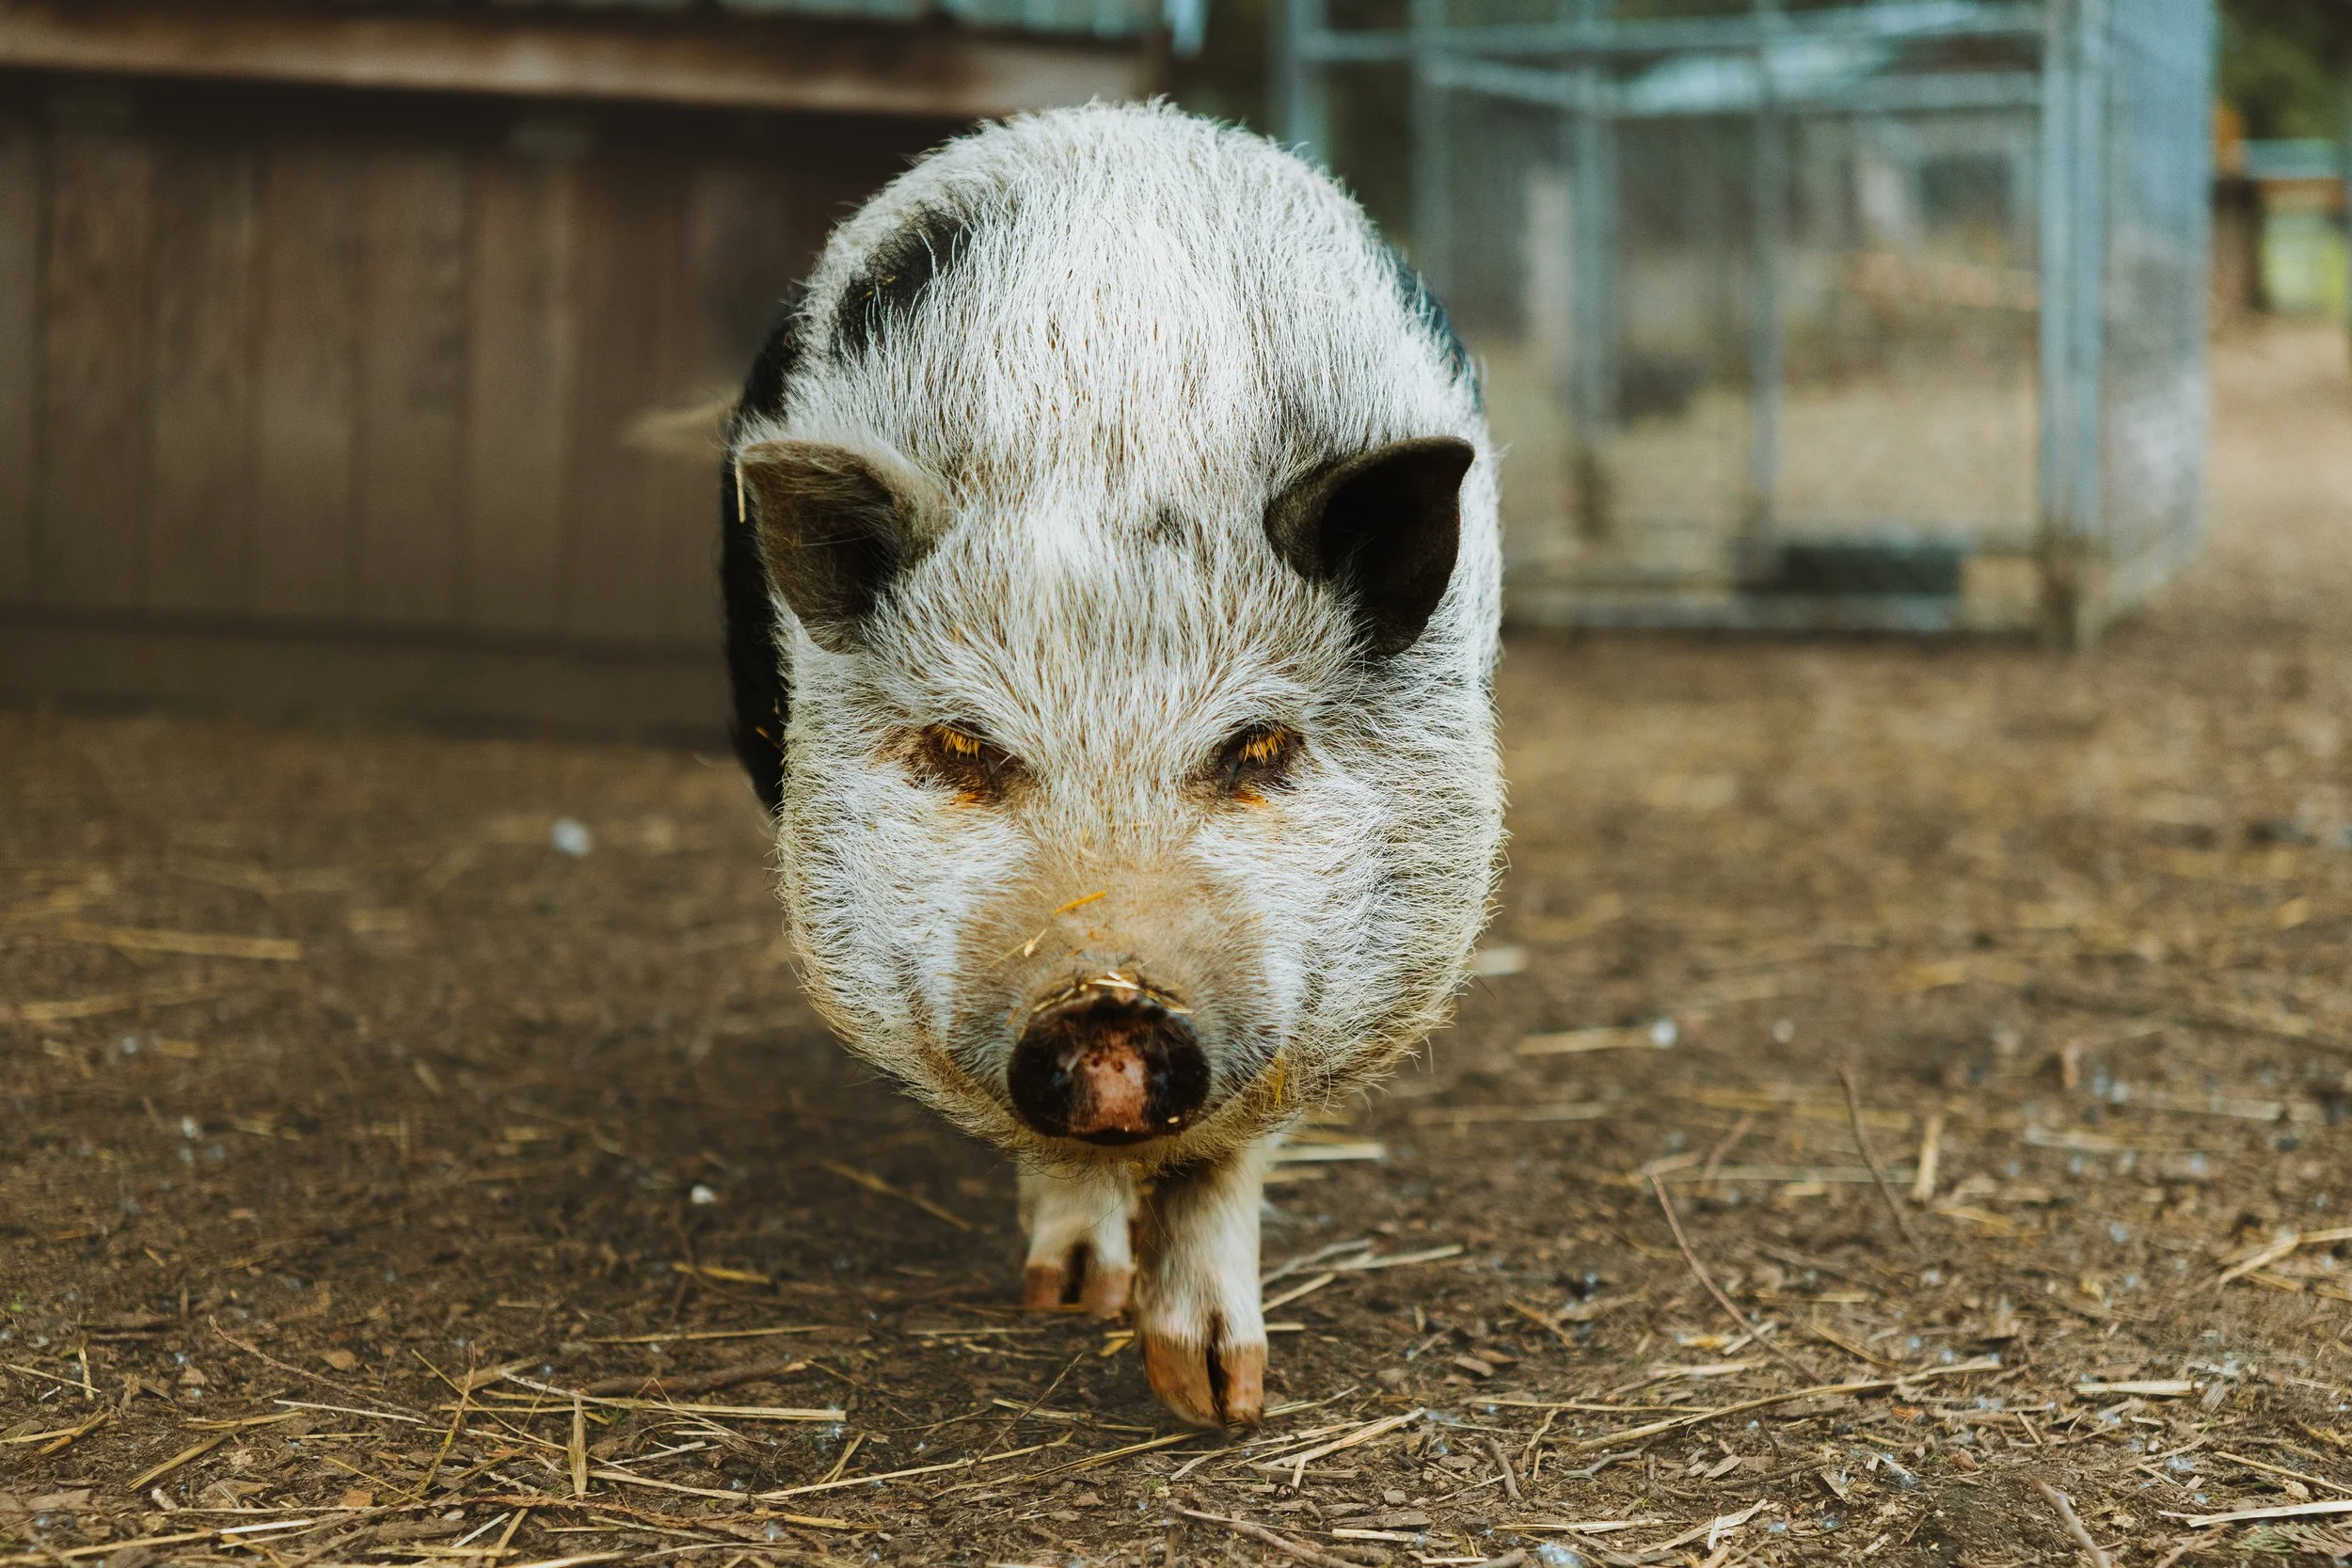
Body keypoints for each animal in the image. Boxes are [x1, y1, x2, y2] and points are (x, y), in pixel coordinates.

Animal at [719, 102, 1502, 1429]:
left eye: (1259, 746)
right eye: (965, 747)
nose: (1108, 1015)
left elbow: (1233, 1150)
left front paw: (1219, 1399)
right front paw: (1073, 1305)